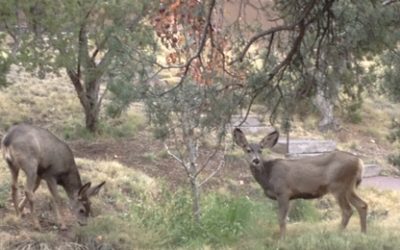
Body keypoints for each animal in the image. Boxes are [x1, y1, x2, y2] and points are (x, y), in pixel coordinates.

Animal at [233, 128, 368, 239]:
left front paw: (282, 240)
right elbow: (285, 218)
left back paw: (337, 233)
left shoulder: (283, 192)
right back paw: (363, 233)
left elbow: (281, 218)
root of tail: (360, 162)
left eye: (261, 150)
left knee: (347, 210)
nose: (256, 160)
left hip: (338, 185)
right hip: (349, 187)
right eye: (248, 150)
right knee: (362, 205)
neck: (268, 176)